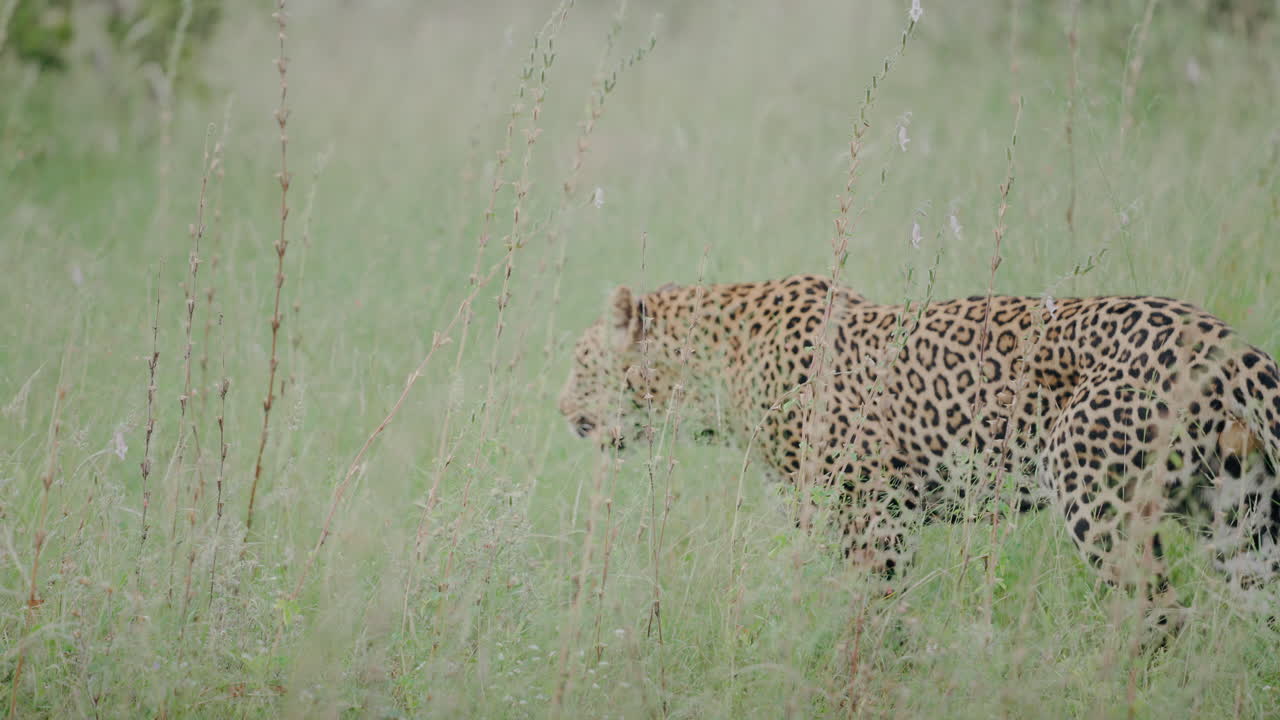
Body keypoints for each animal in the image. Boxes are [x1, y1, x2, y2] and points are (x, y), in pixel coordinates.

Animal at [558, 274, 1280, 633]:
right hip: (1239, 513)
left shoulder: (869, 514)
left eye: (581, 361)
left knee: (1159, 613)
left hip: (1101, 504)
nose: (562, 411)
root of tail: (1223, 339)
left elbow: (875, 611)